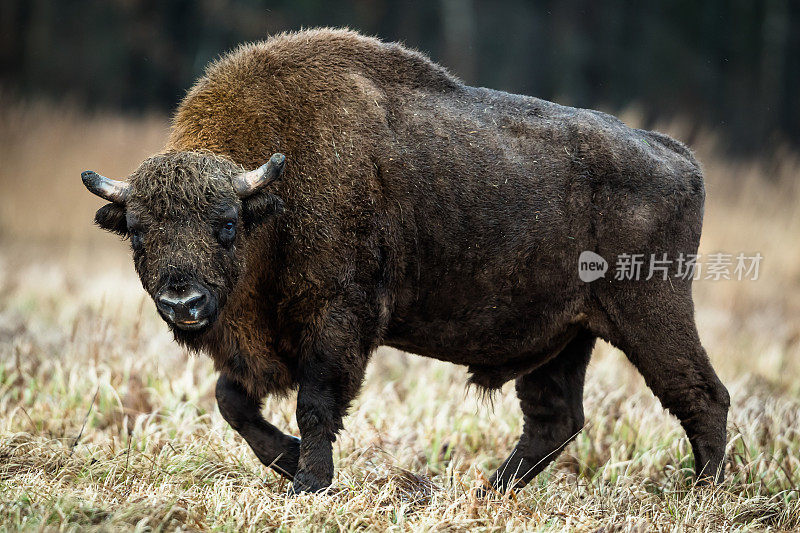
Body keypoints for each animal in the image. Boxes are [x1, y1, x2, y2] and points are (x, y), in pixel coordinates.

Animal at [83, 29, 732, 492]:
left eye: (224, 226)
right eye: (137, 232)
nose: (183, 301)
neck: (271, 202)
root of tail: (678, 156)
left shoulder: (337, 322)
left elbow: (314, 406)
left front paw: (308, 483)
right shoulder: (255, 343)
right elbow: (232, 400)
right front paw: (290, 464)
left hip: (650, 312)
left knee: (702, 395)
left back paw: (702, 494)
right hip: (568, 337)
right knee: (555, 418)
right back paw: (485, 492)